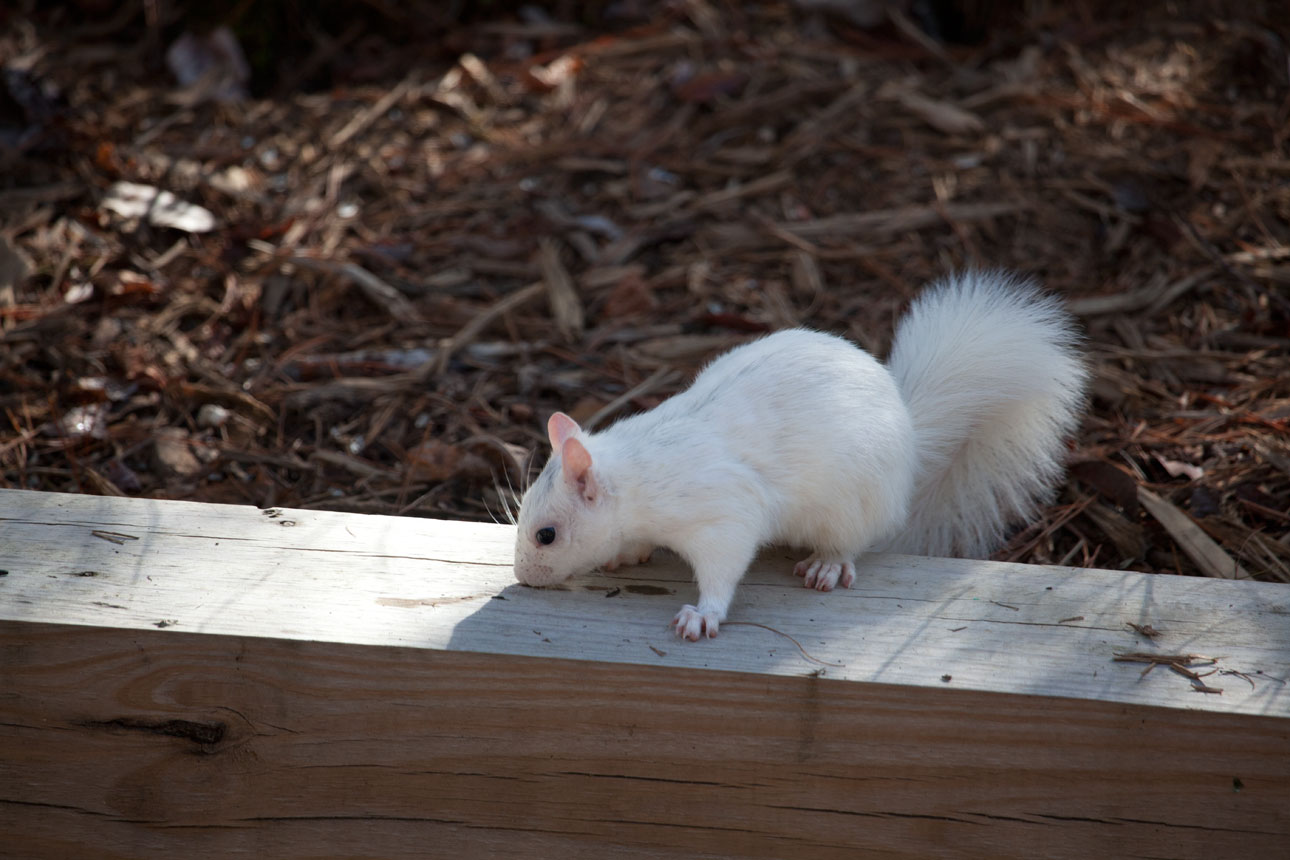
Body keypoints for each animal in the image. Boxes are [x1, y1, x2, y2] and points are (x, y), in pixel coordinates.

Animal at [508, 272, 1083, 642]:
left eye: (546, 535)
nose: (524, 577)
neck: (636, 476)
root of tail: (911, 443)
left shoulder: (723, 512)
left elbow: (723, 567)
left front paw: (702, 615)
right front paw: (627, 553)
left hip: (853, 506)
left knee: (852, 541)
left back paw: (829, 564)